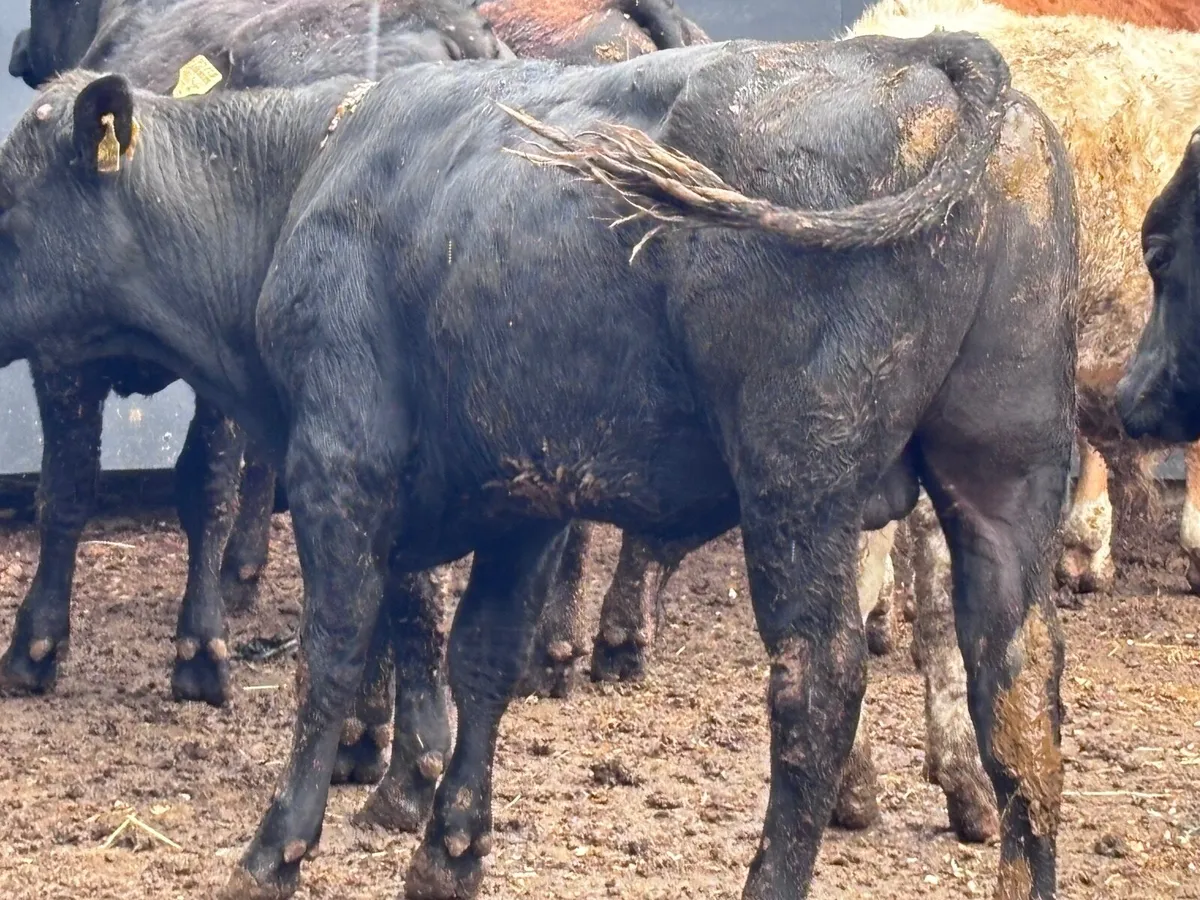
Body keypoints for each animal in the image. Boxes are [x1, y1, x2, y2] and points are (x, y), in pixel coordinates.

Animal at [0, 25, 1075, 898]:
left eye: (8, 198)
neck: (301, 175)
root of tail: (918, 59)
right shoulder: (524, 495)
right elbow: (480, 658)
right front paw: (447, 852)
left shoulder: (340, 468)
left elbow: (334, 655)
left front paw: (277, 852)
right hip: (1002, 481)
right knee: (1020, 691)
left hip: (796, 486)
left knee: (818, 685)